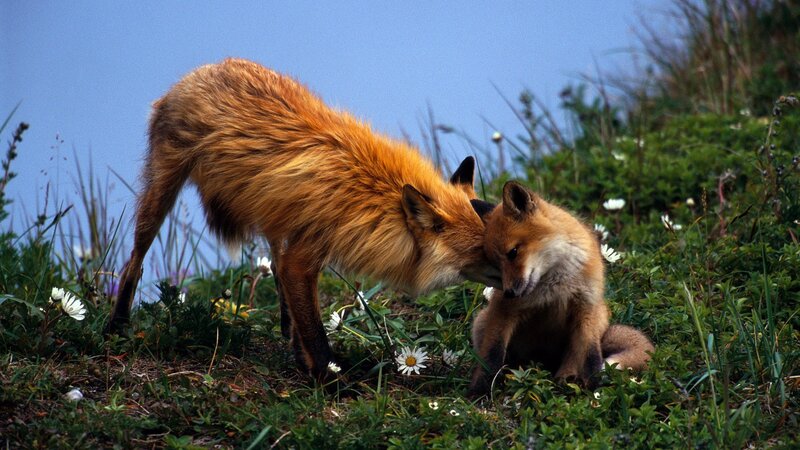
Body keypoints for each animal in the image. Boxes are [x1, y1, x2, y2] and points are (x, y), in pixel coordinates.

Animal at [106, 58, 502, 380]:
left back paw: (285, 329)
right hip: (162, 193)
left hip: (271, 215)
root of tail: (201, 70)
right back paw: (116, 326)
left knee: (276, 271)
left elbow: (302, 311)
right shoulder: (305, 256)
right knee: (134, 262)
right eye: (483, 252)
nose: (518, 281)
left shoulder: (301, 246)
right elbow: (315, 332)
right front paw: (331, 381)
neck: (370, 195)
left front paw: (306, 359)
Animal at [468, 181, 653, 396]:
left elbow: (591, 356)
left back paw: (566, 378)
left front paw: (594, 387)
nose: (509, 293)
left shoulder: (586, 307)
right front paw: (479, 389)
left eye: (513, 252)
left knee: (574, 357)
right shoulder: (503, 311)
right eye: (496, 264)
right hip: (482, 322)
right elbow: (492, 355)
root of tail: (543, 361)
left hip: (596, 318)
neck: (555, 282)